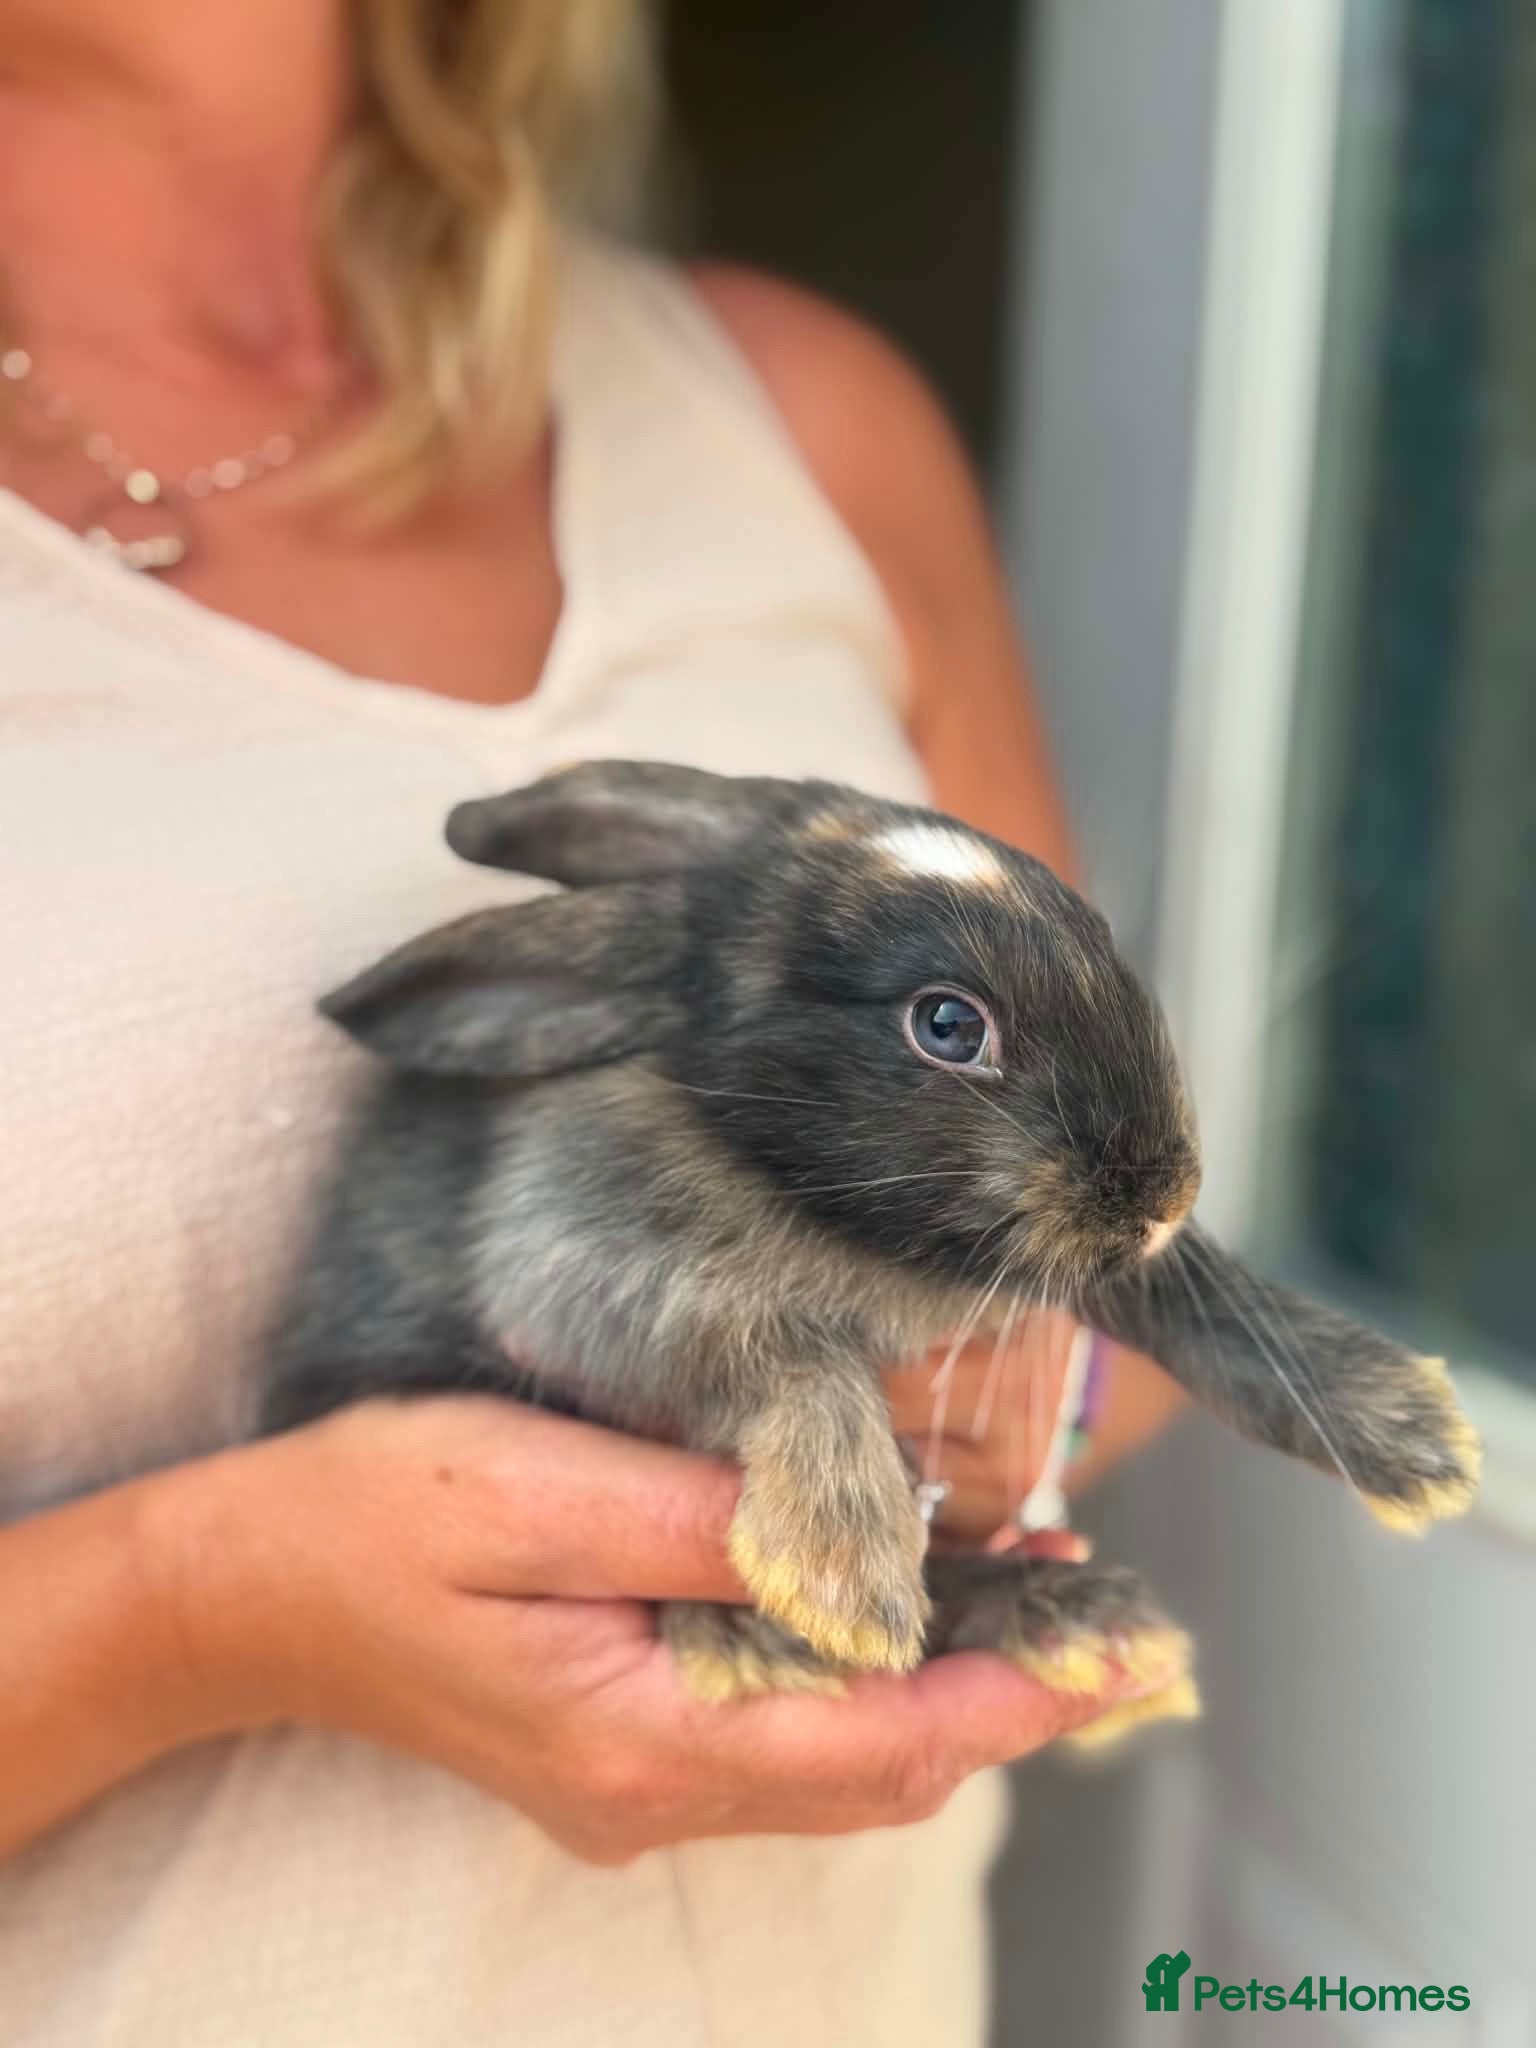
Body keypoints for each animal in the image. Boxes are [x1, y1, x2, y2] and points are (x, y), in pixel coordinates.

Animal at [262, 761, 1481, 1738]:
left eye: (1099, 943)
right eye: (947, 1024)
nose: (1164, 1195)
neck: (813, 1196)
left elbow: (1203, 1295)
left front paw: (1414, 1433)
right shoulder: (570, 1269)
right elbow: (788, 1349)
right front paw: (842, 1577)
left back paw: (1085, 1625)